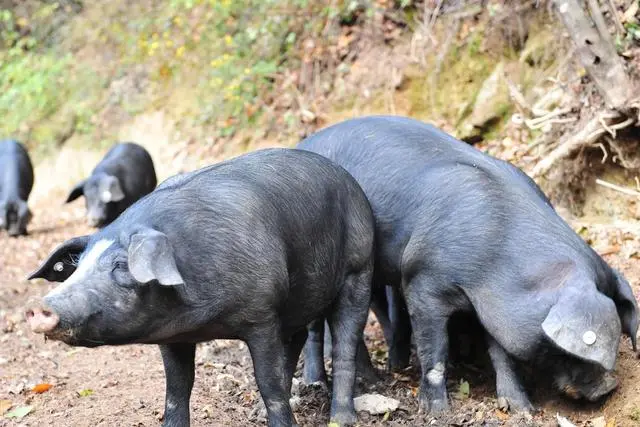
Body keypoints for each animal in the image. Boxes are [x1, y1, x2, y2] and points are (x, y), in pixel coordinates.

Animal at [26, 148, 376, 427]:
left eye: (122, 265)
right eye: (79, 265)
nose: (40, 305)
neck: (204, 319)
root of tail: (353, 184)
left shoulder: (262, 314)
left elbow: (269, 384)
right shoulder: (173, 336)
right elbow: (177, 390)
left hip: (359, 269)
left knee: (344, 341)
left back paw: (342, 420)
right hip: (298, 299)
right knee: (298, 338)